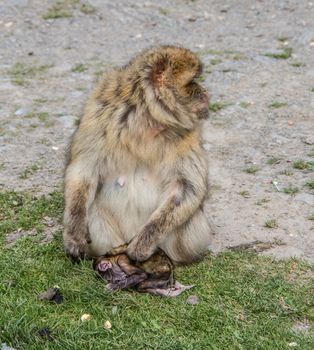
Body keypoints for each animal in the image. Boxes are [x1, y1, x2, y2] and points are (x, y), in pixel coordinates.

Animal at [62, 45, 212, 266]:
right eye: (192, 81)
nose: (206, 92)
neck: (147, 118)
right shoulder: (98, 114)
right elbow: (83, 171)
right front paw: (74, 235)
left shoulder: (188, 134)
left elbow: (186, 187)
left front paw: (143, 244)